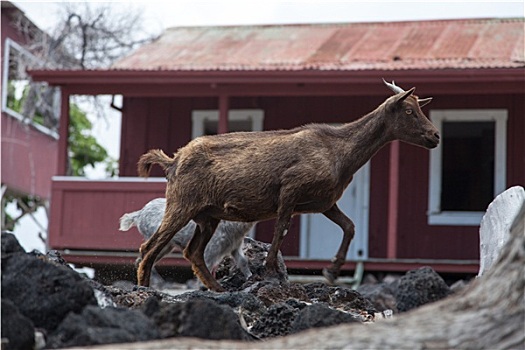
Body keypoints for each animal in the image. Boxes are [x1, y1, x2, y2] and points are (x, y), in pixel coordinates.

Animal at [135, 80, 438, 292]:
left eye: (420, 108)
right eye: (409, 110)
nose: (435, 136)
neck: (341, 154)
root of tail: (172, 161)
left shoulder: (324, 203)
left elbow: (350, 226)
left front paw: (332, 269)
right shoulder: (291, 188)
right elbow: (281, 228)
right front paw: (270, 270)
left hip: (207, 215)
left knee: (193, 251)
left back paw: (218, 288)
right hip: (182, 204)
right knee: (149, 247)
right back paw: (144, 287)